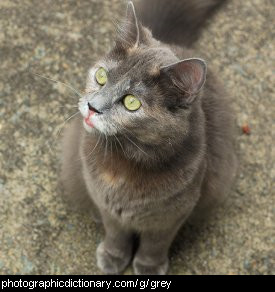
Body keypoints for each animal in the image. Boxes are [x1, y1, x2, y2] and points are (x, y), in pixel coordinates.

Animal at [60, 0, 237, 274]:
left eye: (131, 102)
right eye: (101, 76)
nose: (92, 107)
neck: (125, 161)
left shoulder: (173, 213)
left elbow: (156, 242)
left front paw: (148, 266)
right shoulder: (107, 204)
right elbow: (115, 232)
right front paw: (113, 257)